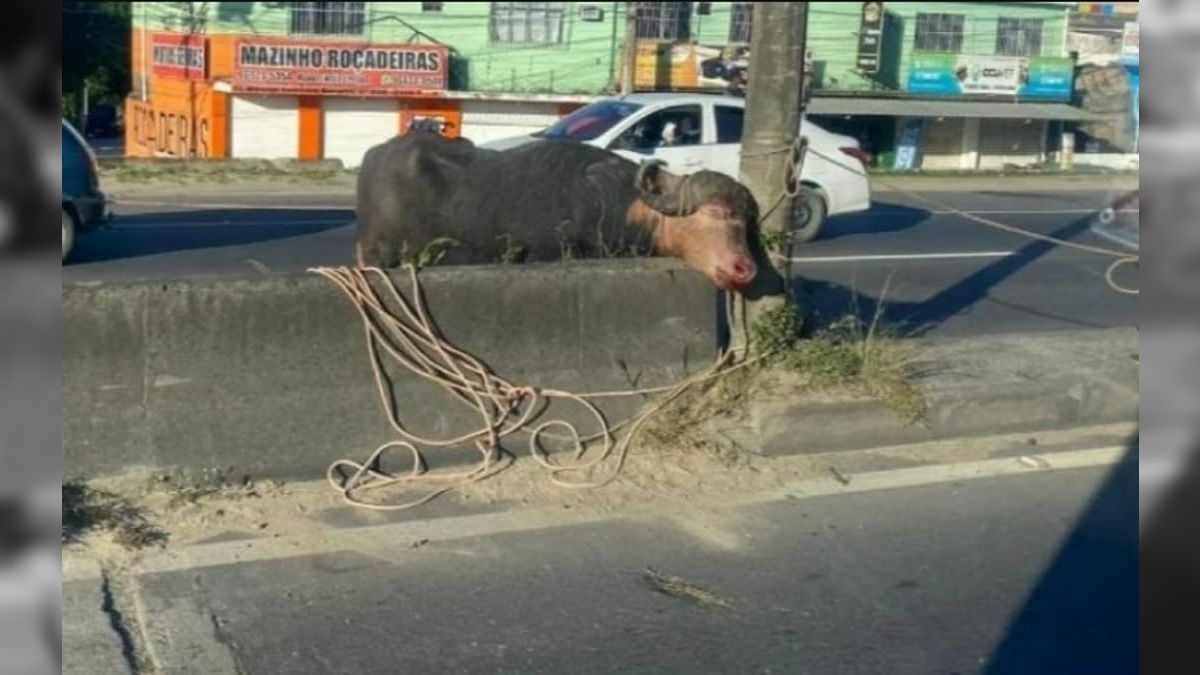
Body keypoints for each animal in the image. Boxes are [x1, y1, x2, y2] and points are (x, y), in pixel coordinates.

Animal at [350, 130, 758, 290]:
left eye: (746, 218)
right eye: (715, 212)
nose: (745, 268)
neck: (625, 206)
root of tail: (374, 156)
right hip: (379, 255)